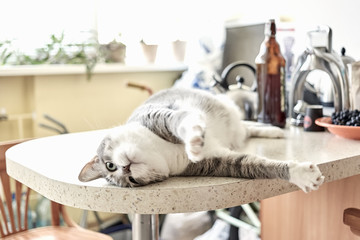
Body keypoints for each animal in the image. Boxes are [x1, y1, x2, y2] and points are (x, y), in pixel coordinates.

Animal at [77, 87, 324, 192]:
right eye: (131, 182)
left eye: (110, 165)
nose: (126, 169)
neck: (162, 150)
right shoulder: (218, 162)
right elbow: (256, 165)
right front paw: (301, 175)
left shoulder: (159, 115)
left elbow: (182, 122)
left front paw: (194, 140)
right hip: (236, 134)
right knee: (246, 129)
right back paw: (272, 131)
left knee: (246, 124)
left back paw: (274, 129)